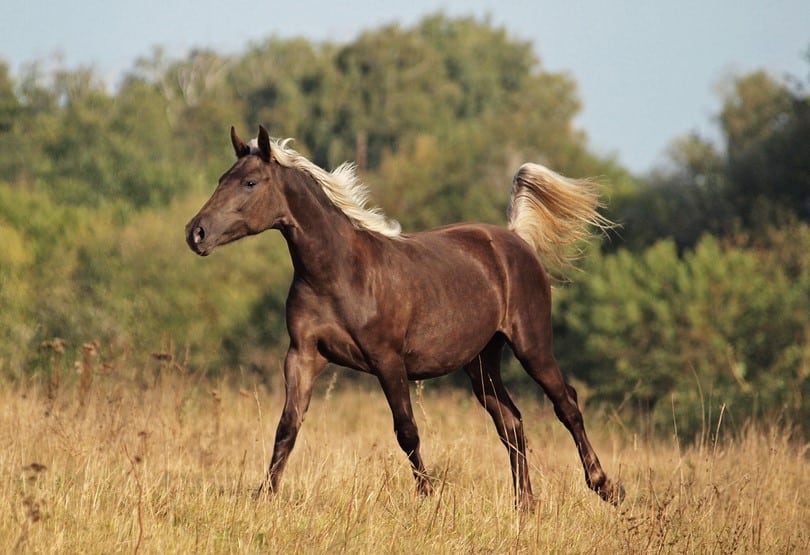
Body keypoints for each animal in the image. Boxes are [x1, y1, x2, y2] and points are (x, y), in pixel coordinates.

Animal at [185, 127, 624, 512]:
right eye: (222, 178)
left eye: (250, 183)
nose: (196, 233)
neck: (340, 272)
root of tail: (516, 239)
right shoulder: (303, 355)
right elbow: (287, 427)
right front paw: (264, 496)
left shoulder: (388, 361)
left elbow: (406, 430)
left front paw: (428, 496)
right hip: (481, 362)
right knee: (511, 424)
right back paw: (525, 506)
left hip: (532, 346)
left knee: (566, 404)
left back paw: (605, 487)